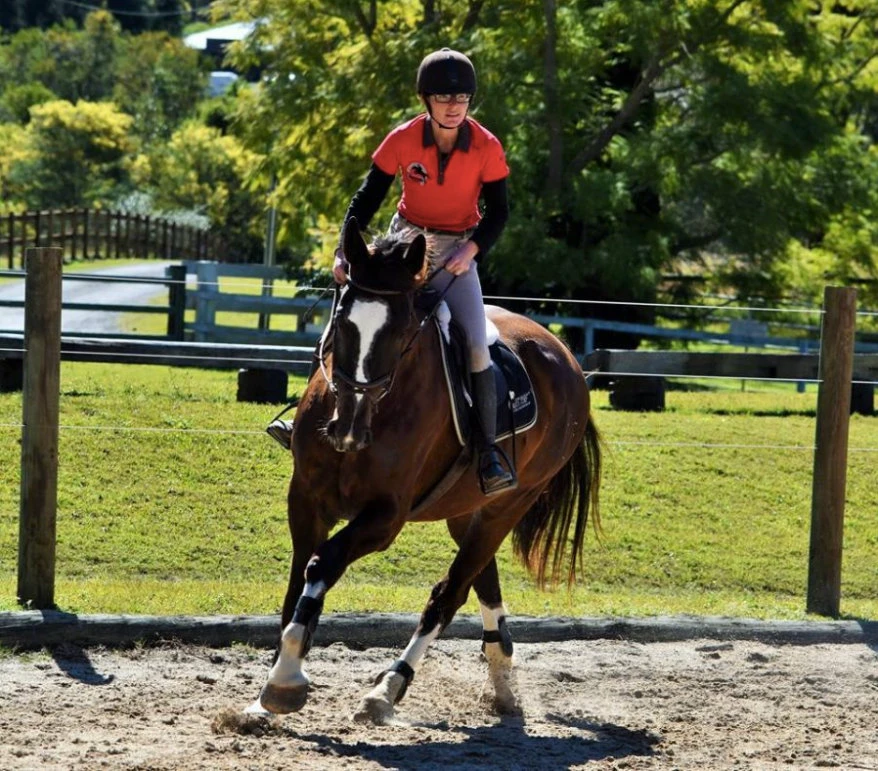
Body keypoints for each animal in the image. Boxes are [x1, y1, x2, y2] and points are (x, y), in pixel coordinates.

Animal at [251, 218, 602, 723]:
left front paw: (285, 680)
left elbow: (322, 565)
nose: (348, 429)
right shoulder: (305, 499)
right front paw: (264, 697)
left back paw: (388, 689)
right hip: (468, 508)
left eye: (402, 332)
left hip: (510, 503)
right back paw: (502, 680)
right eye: (343, 323)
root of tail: (567, 358)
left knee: (450, 593)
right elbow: (297, 583)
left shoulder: (384, 517)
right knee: (480, 577)